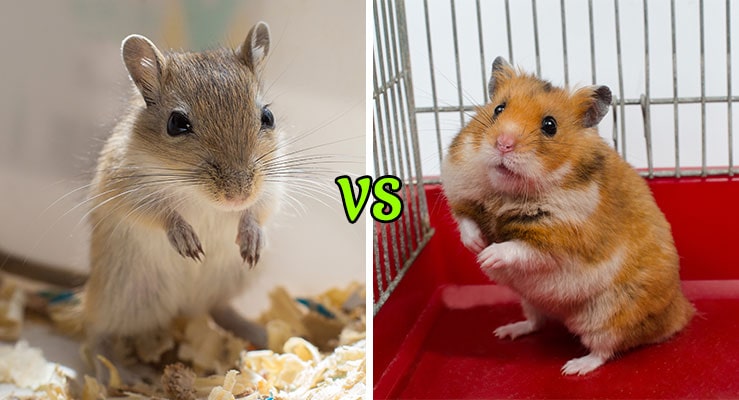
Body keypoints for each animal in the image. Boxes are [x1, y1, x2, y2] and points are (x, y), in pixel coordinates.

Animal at [440, 57, 694, 375]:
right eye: (499, 108)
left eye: (550, 125)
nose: (503, 144)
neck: (506, 193)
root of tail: (679, 312)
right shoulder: (461, 191)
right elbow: (466, 221)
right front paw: (475, 246)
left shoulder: (560, 240)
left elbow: (520, 248)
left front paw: (487, 257)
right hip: (530, 300)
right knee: (536, 322)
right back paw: (506, 331)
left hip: (608, 316)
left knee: (605, 349)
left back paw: (574, 367)